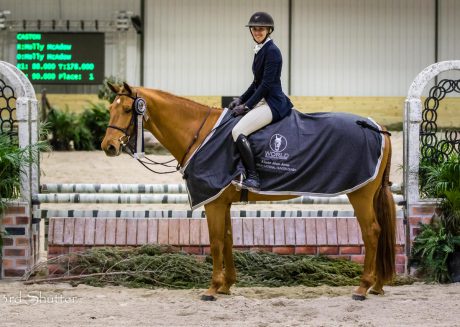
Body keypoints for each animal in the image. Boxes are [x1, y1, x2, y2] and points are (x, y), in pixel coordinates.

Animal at [102, 82, 398, 302]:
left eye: (128, 109)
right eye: (110, 108)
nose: (108, 147)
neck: (201, 134)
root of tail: (377, 127)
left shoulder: (213, 202)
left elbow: (216, 241)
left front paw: (212, 289)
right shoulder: (222, 201)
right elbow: (229, 239)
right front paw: (226, 286)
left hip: (359, 194)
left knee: (371, 231)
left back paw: (363, 287)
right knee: (378, 231)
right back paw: (377, 286)